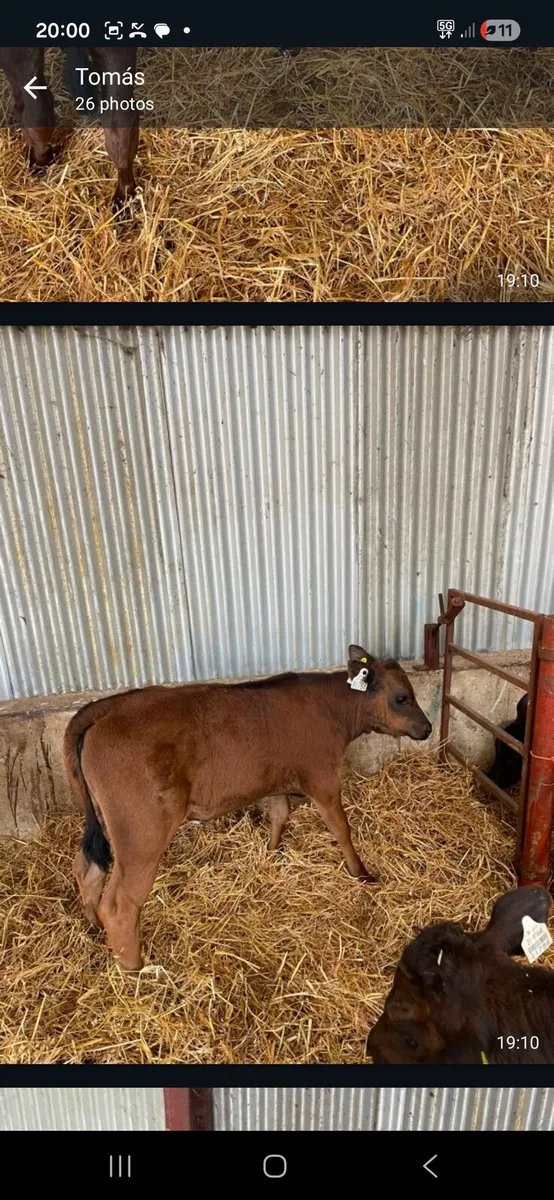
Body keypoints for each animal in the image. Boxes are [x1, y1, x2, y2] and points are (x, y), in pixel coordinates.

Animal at [63, 645, 431, 972]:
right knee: (120, 903)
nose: (427, 728)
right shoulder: (323, 779)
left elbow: (279, 814)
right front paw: (362, 873)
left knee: (87, 870)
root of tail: (108, 708)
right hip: (141, 835)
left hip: (106, 823)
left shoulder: (276, 780)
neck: (331, 708)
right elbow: (341, 828)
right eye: (402, 697)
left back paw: (94, 930)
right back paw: (135, 969)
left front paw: (272, 852)